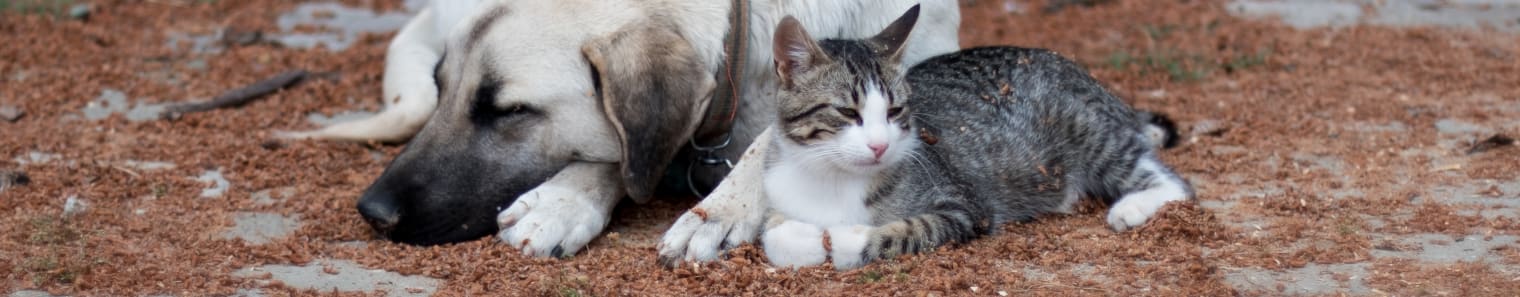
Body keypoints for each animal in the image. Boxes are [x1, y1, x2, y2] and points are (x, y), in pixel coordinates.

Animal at [279, 0, 954, 260]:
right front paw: (563, 201)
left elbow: (775, 140)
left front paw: (722, 207)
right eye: (444, 87)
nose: (373, 211)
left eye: (508, 111)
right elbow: (622, 156)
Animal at [756, 4, 1185, 269]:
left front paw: (848, 239)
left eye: (895, 111)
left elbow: (906, 231)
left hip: (1090, 130)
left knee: (1174, 182)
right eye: (848, 112)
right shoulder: (777, 192)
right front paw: (804, 238)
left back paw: (1132, 206)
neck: (833, 177)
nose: (880, 145)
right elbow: (774, 235)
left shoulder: (966, 207)